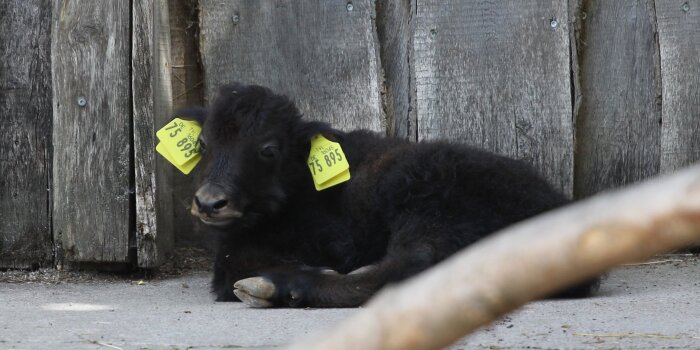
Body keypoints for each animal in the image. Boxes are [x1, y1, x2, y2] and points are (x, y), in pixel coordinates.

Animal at [183, 83, 600, 308]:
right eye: (202, 143)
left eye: (268, 149)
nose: (209, 202)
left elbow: (234, 270)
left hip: (425, 204)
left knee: (411, 268)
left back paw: (274, 287)